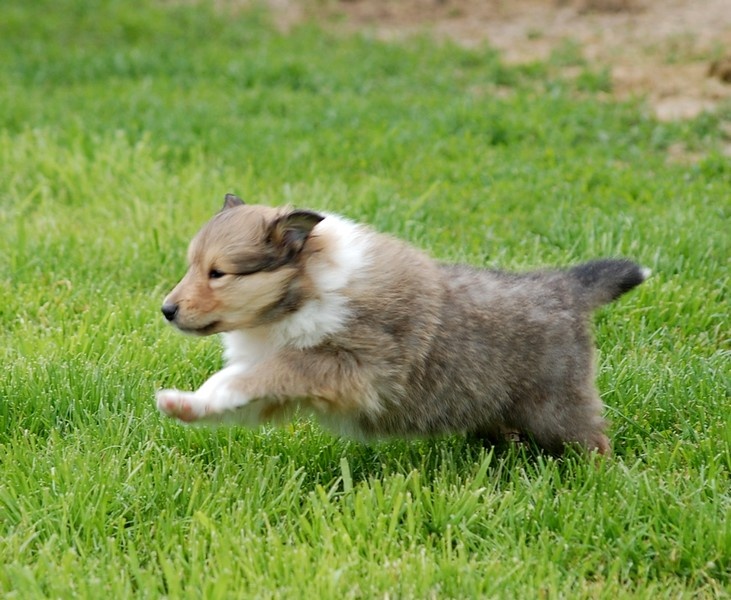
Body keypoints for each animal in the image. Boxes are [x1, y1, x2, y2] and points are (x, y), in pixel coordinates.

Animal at [157, 196, 648, 454]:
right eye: (192, 265)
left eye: (218, 273)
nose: (166, 309)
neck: (302, 292)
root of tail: (564, 286)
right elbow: (235, 383)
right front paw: (184, 405)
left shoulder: (353, 365)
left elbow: (281, 367)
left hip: (557, 404)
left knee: (592, 439)